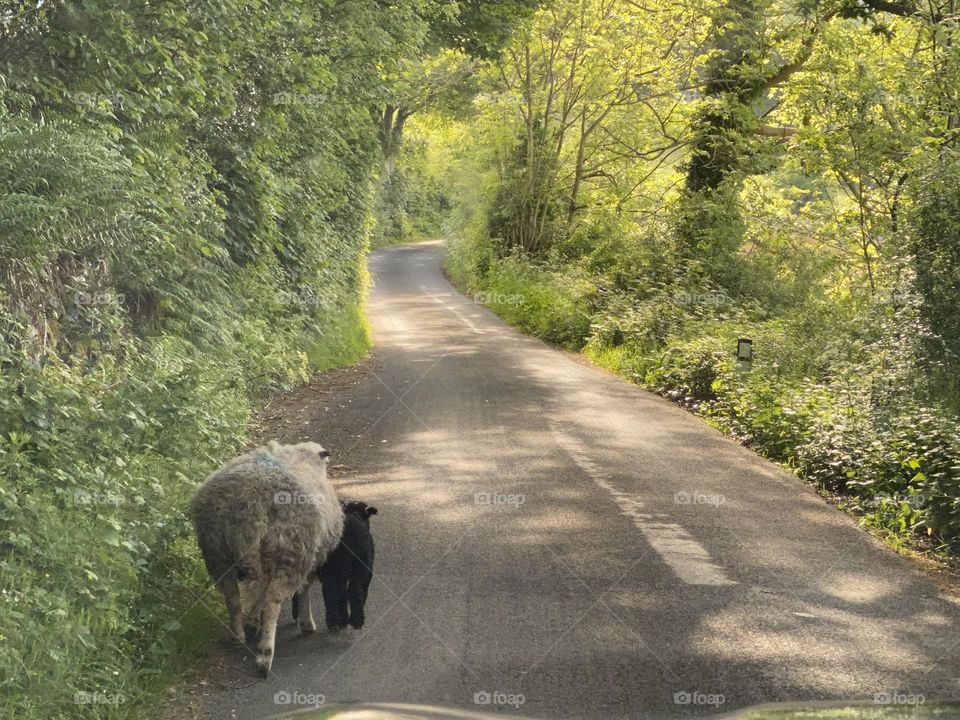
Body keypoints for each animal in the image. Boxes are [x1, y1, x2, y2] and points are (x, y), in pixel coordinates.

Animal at [190, 440, 344, 677]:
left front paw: (252, 620)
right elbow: (305, 590)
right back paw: (265, 655)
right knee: (272, 602)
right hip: (291, 553)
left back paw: (238, 636)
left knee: (233, 597)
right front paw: (306, 623)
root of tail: (252, 502)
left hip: (217, 552)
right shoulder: (309, 556)